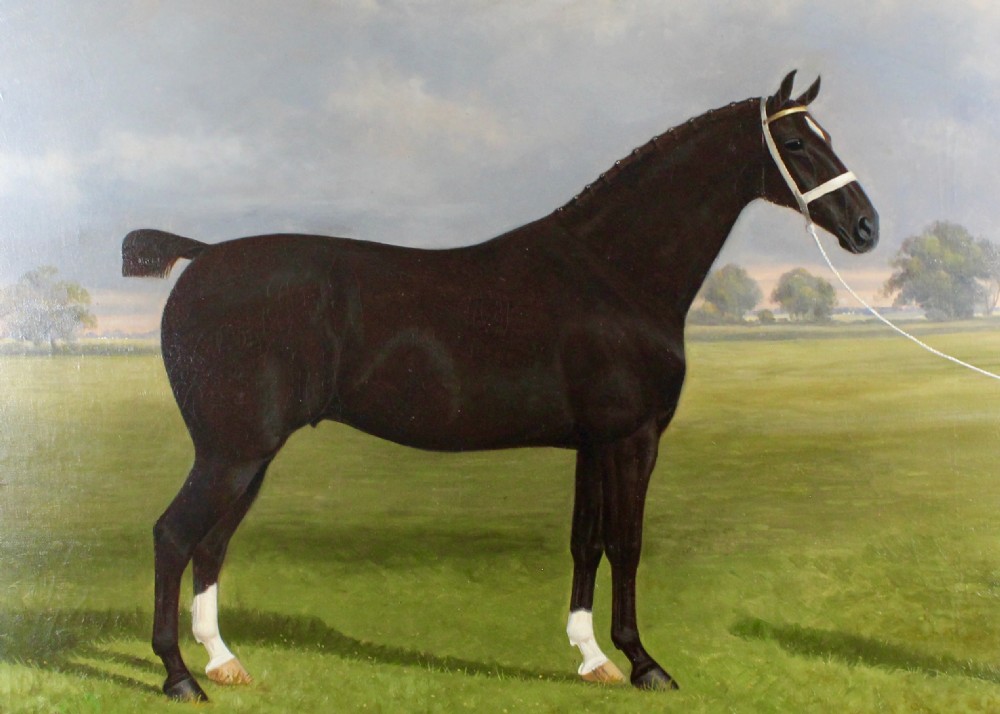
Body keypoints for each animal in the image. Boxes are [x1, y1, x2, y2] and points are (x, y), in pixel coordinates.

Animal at [122, 71, 878, 701]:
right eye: (795, 142)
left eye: (826, 136)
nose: (865, 228)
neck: (614, 275)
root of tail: (201, 257)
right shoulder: (632, 439)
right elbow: (628, 544)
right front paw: (644, 663)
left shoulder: (593, 443)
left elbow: (586, 542)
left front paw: (592, 659)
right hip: (233, 450)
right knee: (173, 535)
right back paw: (180, 677)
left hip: (247, 454)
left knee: (211, 543)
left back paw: (224, 662)